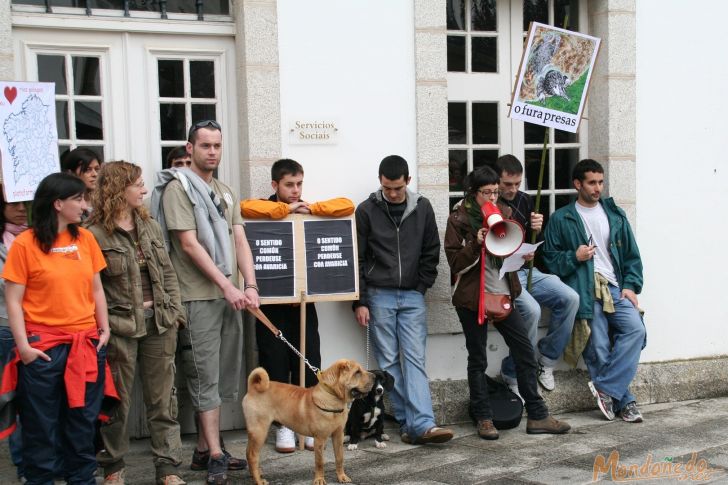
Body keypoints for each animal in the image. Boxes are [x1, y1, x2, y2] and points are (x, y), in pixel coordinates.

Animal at [243, 358, 372, 484]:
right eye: (357, 372)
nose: (374, 376)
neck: (333, 397)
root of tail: (252, 388)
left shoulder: (338, 435)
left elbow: (340, 458)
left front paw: (342, 477)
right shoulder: (319, 439)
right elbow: (319, 462)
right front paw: (319, 479)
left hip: (255, 433)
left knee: (248, 452)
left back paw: (255, 473)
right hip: (259, 431)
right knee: (253, 455)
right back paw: (258, 480)